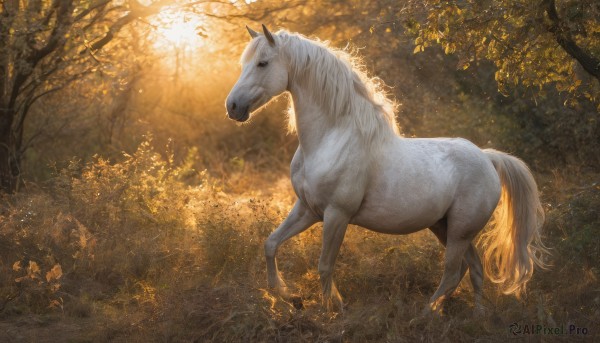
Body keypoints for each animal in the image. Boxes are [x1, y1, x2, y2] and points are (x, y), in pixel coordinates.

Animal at [225, 24, 548, 314]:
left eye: (263, 63)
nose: (232, 106)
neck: (331, 138)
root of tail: (488, 158)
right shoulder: (307, 209)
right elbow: (270, 244)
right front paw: (287, 296)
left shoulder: (336, 215)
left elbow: (325, 266)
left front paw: (333, 309)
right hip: (445, 227)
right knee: (474, 270)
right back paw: (476, 316)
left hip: (459, 231)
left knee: (452, 273)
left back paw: (424, 314)